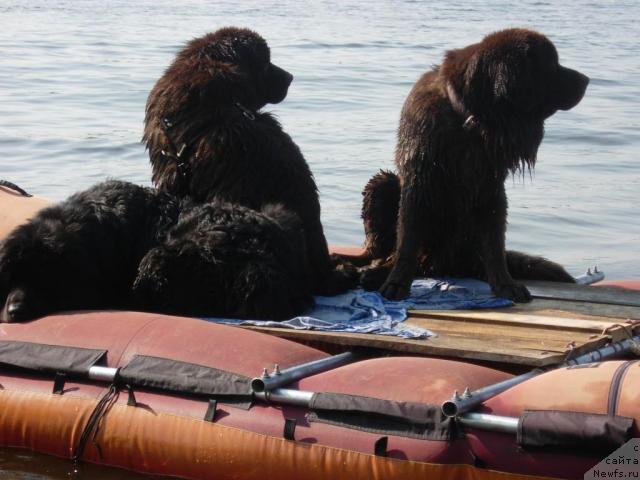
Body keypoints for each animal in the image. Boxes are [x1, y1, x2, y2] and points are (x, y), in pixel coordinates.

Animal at [358, 28, 588, 302]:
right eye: (552, 64)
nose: (586, 80)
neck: (469, 121)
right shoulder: (419, 182)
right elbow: (408, 242)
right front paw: (396, 283)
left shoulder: (491, 189)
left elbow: (494, 244)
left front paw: (505, 284)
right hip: (381, 184)